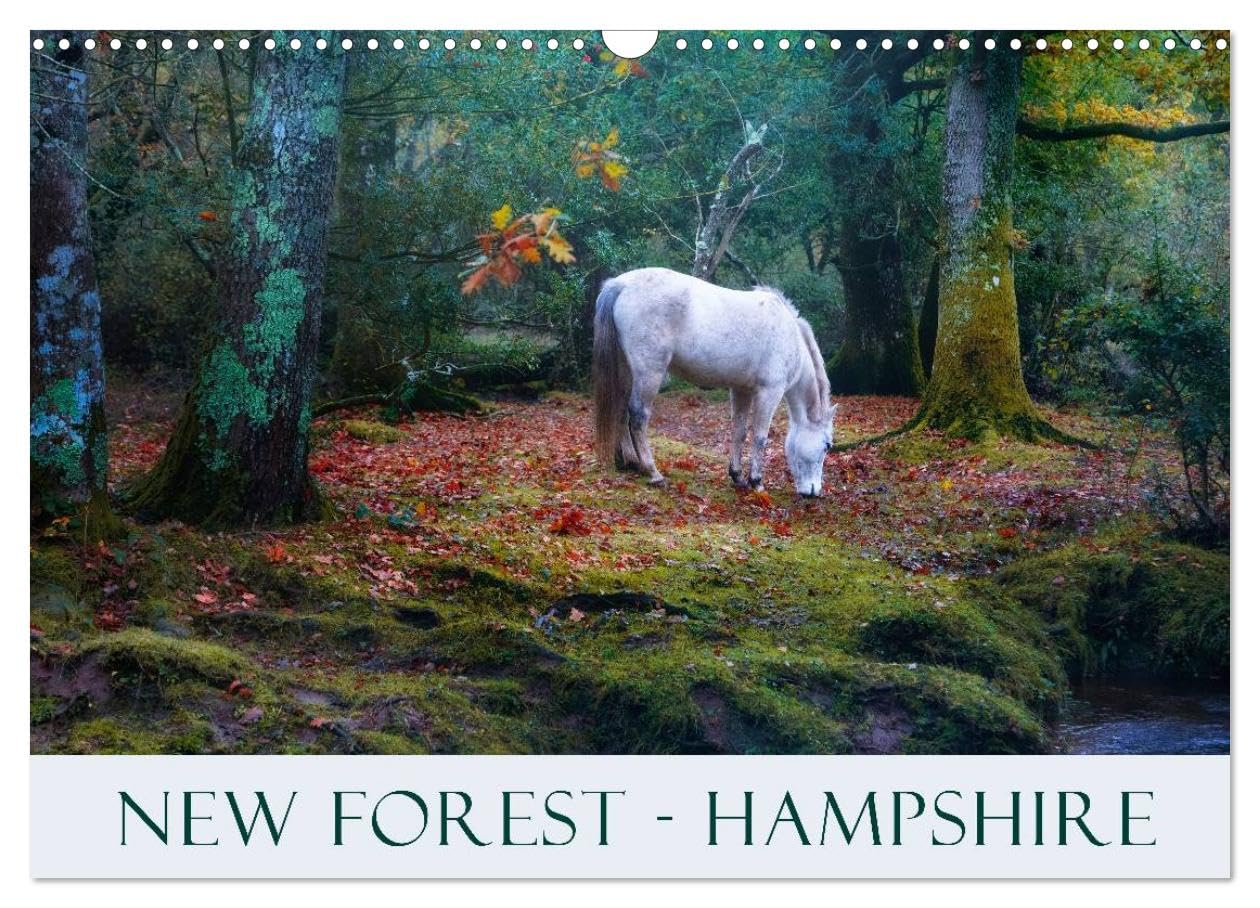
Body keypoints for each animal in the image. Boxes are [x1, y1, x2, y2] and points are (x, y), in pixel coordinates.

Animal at [592, 267, 836, 497]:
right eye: (827, 445)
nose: (814, 492)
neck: (789, 334)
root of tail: (621, 284)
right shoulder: (770, 392)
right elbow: (760, 437)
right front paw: (756, 482)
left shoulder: (741, 390)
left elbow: (739, 431)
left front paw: (737, 476)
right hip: (649, 373)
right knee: (638, 415)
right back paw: (653, 472)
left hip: (627, 371)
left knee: (620, 409)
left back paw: (630, 462)